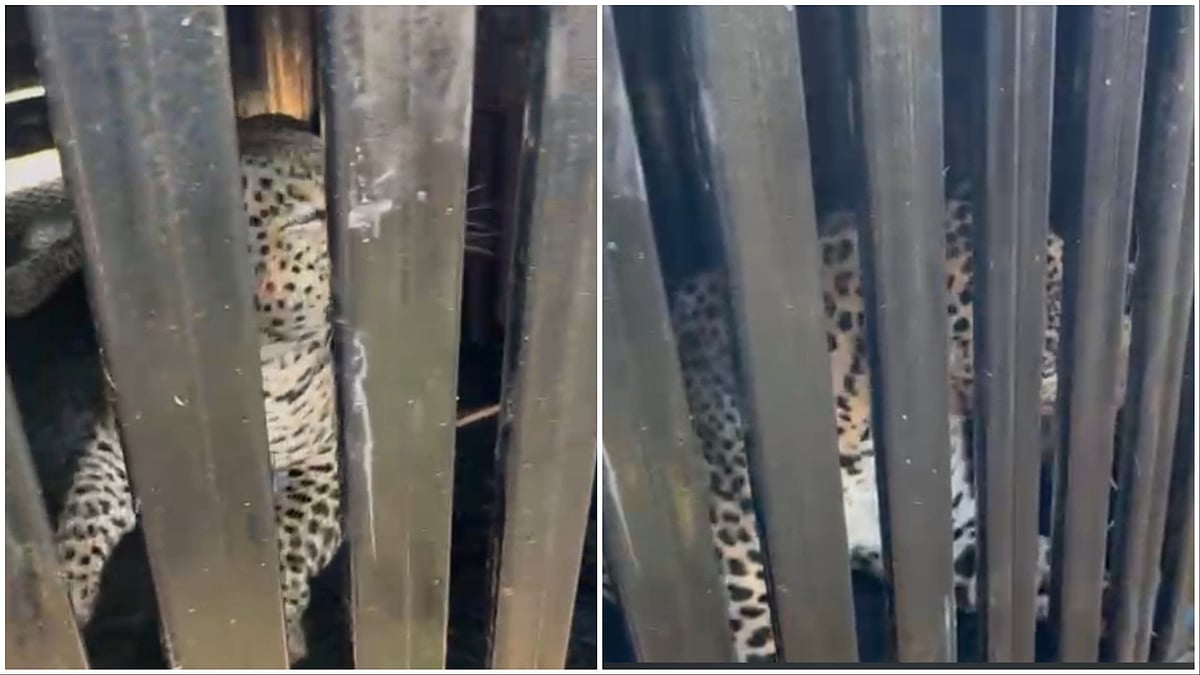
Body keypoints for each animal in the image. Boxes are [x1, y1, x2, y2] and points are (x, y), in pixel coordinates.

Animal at [38, 114, 341, 664]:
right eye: (309, 215)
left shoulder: (325, 463)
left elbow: (288, 541)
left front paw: (277, 626)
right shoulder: (115, 452)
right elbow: (86, 512)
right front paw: (65, 595)